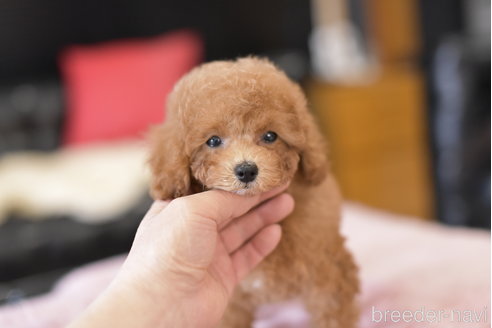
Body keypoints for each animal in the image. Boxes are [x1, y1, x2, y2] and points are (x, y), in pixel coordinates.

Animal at [147, 57, 358, 326]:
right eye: (213, 141)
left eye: (270, 136)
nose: (246, 170)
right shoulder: (232, 301)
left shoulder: (329, 270)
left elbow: (332, 312)